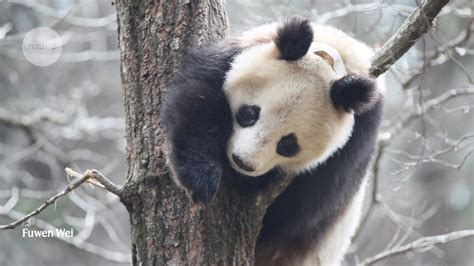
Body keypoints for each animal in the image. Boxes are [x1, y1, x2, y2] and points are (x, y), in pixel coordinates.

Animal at [161, 17, 384, 264]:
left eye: (288, 144)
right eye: (250, 113)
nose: (242, 162)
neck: (335, 56)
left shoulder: (352, 150)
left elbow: (292, 214)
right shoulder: (236, 52)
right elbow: (199, 97)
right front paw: (201, 178)